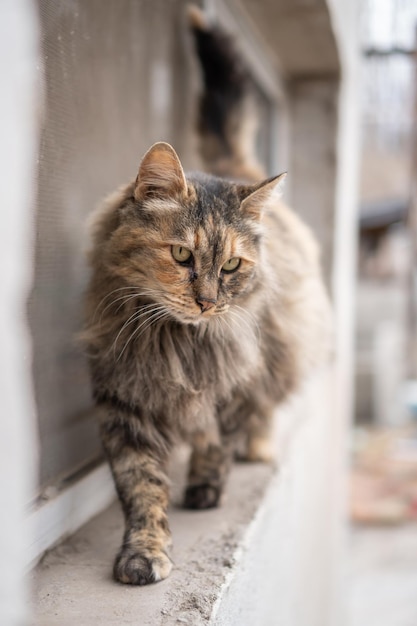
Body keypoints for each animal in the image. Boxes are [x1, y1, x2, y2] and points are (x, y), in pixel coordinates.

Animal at [83, 6, 332, 584]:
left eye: (232, 265)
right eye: (180, 256)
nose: (207, 301)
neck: (176, 340)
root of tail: (232, 172)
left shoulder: (238, 379)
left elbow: (218, 440)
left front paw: (206, 488)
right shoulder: (124, 399)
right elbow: (141, 485)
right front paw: (144, 552)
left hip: (283, 347)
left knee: (266, 410)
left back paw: (257, 450)